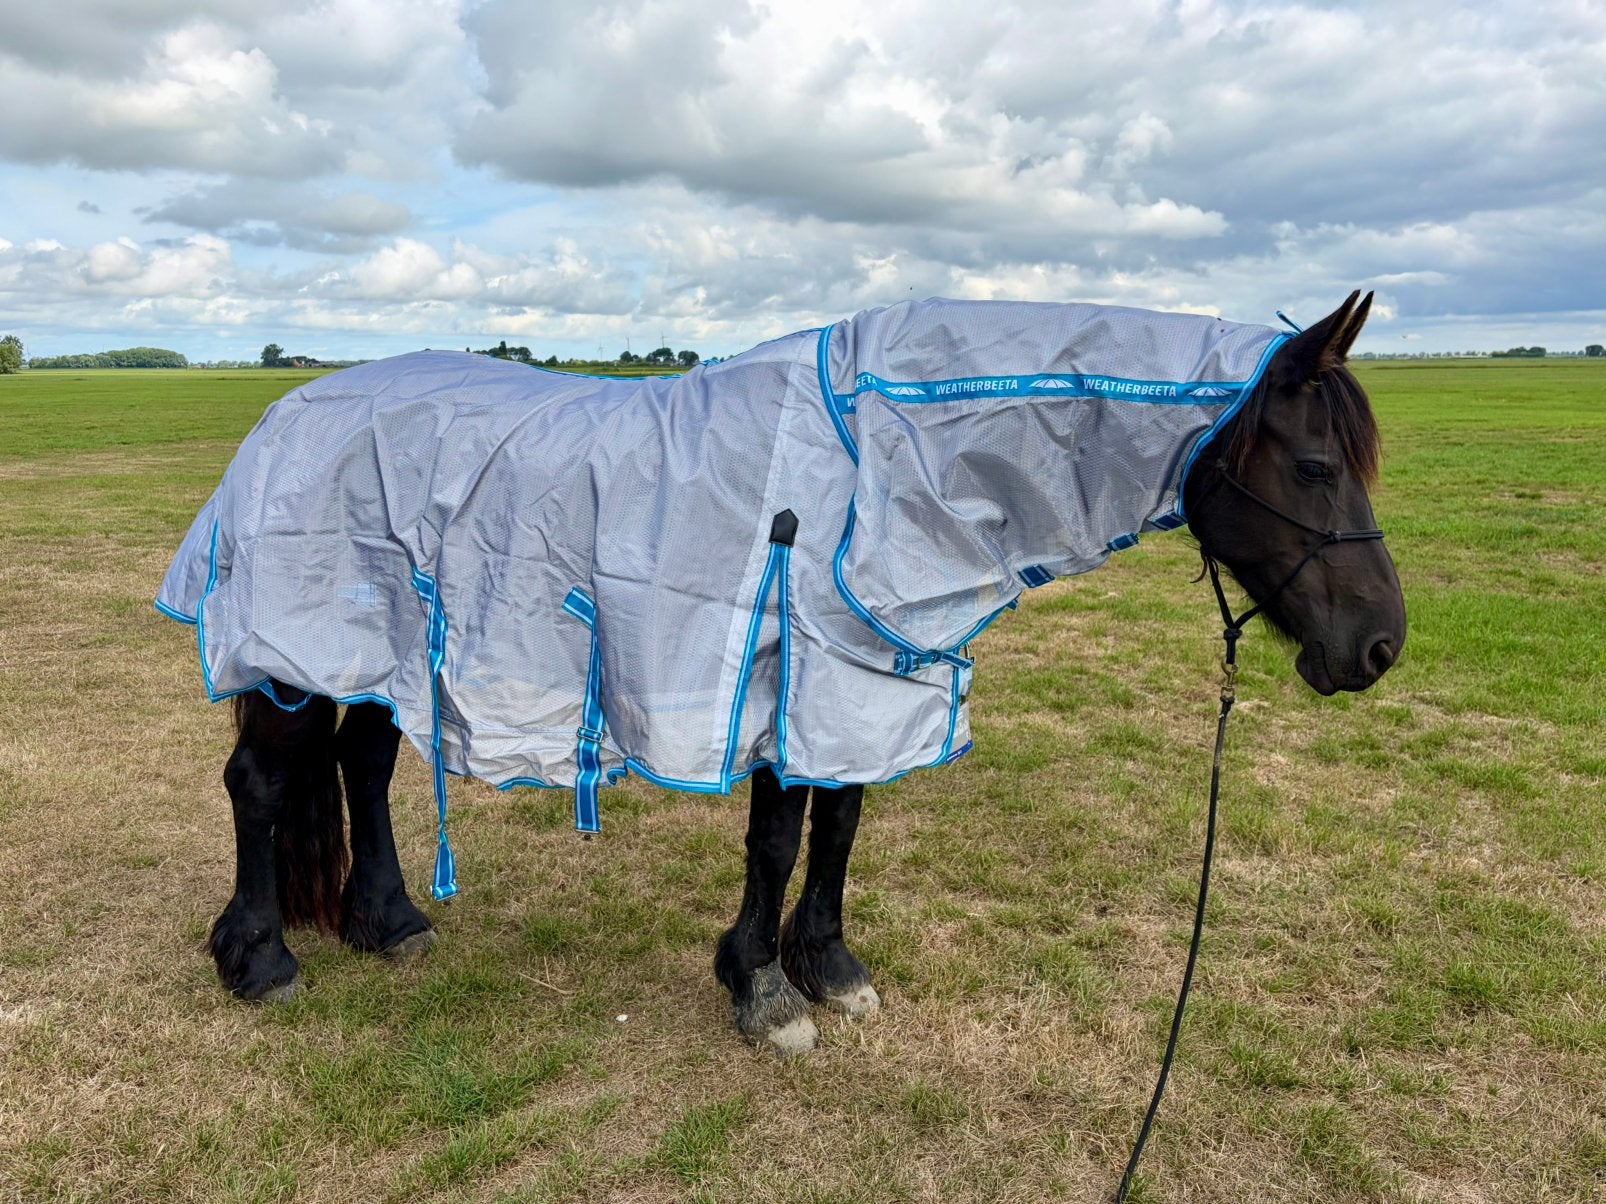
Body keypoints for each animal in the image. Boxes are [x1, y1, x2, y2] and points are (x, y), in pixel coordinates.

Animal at [160, 291, 1404, 1056]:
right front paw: (760, 988)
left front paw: (829, 966)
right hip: (294, 649)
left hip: (376, 649)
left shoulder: (858, 683)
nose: (1379, 646)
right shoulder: (781, 677)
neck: (879, 457)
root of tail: (287, 411)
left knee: (363, 767)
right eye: (1312, 463)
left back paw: (390, 923)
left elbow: (838, 825)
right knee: (263, 785)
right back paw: (261, 958)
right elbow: (774, 836)